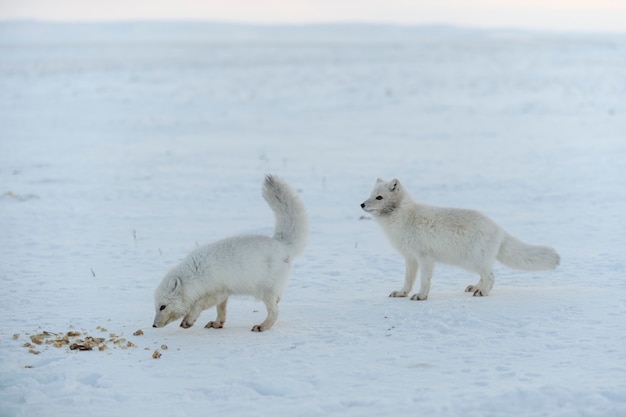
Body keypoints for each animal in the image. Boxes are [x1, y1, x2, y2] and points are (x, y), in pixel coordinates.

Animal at [151, 176, 308, 332]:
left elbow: (198, 305)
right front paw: (217, 323)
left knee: (275, 313)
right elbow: (221, 310)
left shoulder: (217, 290)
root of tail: (282, 244)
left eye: (162, 307)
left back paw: (263, 326)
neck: (195, 275)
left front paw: (188, 320)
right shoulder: (224, 293)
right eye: (157, 307)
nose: (154, 325)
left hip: (265, 291)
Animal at [358, 176, 560, 300]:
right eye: (370, 195)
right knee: (485, 276)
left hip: (474, 260)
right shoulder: (410, 257)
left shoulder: (425, 257)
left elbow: (424, 280)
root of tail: (498, 228)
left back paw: (483, 292)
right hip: (471, 262)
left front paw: (421, 296)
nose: (361, 204)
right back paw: (476, 288)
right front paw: (402, 293)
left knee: (491, 276)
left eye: (379, 197)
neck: (405, 218)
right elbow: (408, 280)